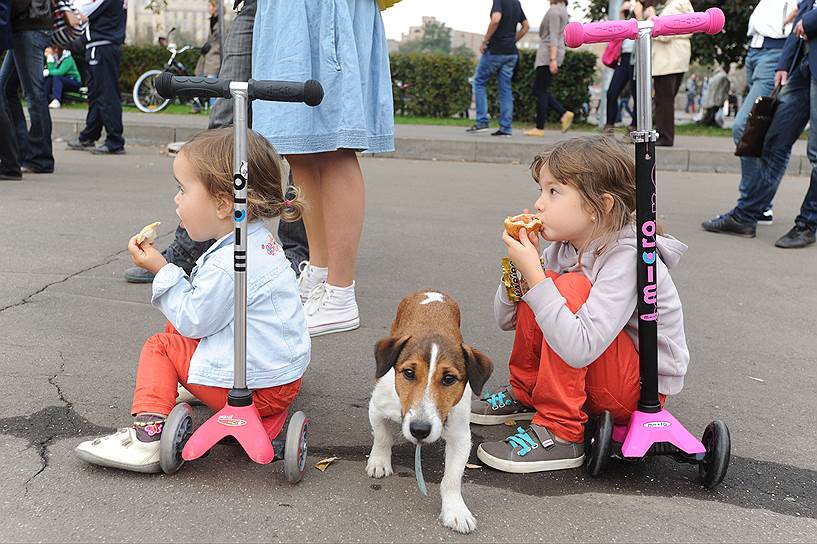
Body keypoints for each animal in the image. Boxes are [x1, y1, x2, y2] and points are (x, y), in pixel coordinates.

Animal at [368, 292, 490, 532]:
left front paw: (455, 510)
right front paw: (378, 461)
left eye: (449, 379)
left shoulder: (460, 436)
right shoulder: (376, 408)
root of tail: (431, 291)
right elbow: (382, 436)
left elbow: (452, 478)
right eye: (408, 372)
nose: (419, 430)